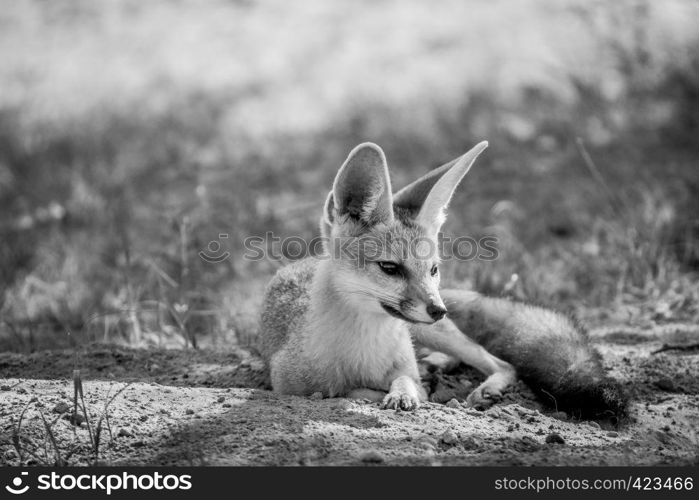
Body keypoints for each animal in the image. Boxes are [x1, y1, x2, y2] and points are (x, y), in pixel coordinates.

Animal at [258, 142, 628, 418]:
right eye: (390, 268)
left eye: (433, 270)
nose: (439, 310)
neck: (364, 351)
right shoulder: (287, 385)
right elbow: (345, 389)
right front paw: (387, 391)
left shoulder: (405, 361)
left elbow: (407, 382)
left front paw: (404, 393)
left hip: (436, 333)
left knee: (501, 362)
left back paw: (481, 386)